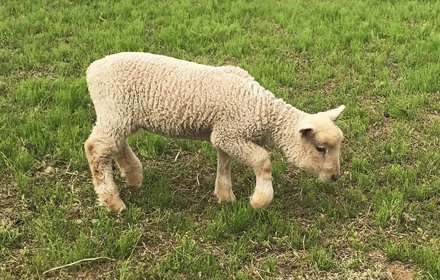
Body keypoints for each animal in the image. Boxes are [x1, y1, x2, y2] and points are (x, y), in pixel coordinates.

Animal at [84, 51, 346, 211]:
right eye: (320, 148)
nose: (335, 177)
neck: (261, 109)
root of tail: (92, 68)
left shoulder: (224, 132)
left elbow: (224, 162)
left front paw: (225, 196)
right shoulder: (231, 132)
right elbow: (263, 159)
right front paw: (259, 200)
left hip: (120, 115)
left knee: (116, 144)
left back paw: (133, 176)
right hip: (114, 109)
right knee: (96, 147)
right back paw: (112, 200)